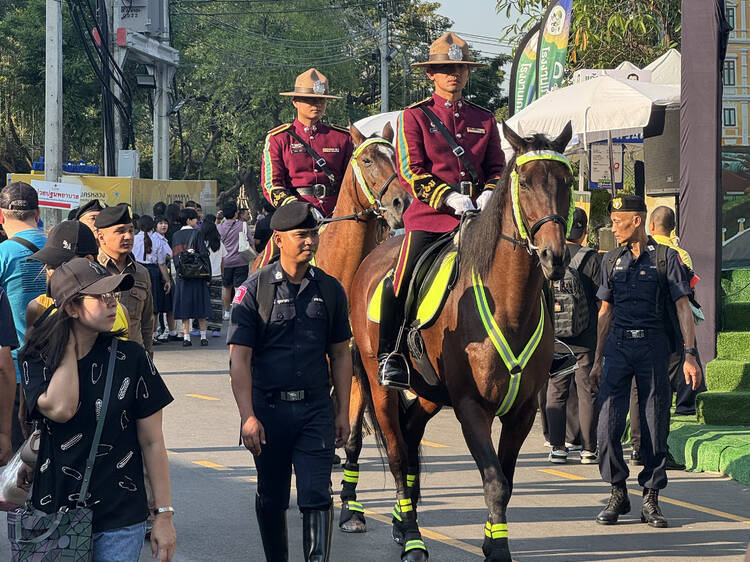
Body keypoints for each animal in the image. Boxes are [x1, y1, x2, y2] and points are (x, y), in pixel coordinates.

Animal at [350, 120, 572, 556]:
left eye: (567, 181)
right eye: (525, 183)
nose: (554, 257)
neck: (508, 304)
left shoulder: (522, 411)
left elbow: (506, 481)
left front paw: (492, 542)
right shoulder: (472, 407)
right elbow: (494, 481)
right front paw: (496, 548)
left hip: (429, 392)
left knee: (411, 431)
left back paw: (403, 521)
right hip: (378, 385)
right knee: (399, 453)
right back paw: (412, 539)